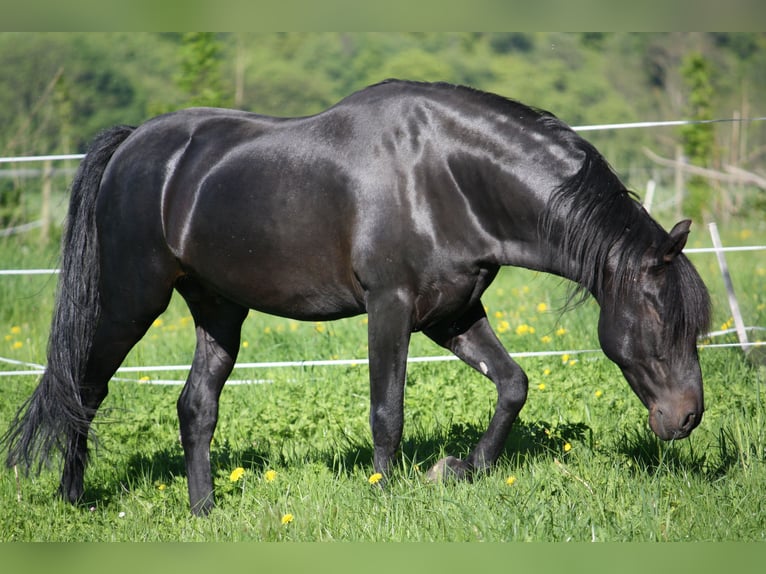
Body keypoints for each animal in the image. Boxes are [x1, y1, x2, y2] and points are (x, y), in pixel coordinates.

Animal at [3, 80, 711, 515]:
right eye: (660, 316)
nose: (686, 418)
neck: (444, 175)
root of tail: (131, 144)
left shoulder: (453, 313)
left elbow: (513, 384)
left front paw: (464, 467)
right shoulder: (390, 308)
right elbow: (387, 410)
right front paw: (386, 492)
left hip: (219, 308)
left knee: (196, 406)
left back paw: (202, 509)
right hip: (131, 300)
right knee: (84, 388)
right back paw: (72, 498)